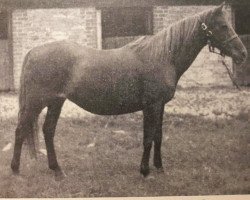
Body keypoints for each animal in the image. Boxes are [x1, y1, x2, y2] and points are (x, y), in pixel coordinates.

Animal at [11, 2, 246, 179]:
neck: (163, 56)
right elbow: (148, 137)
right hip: (36, 102)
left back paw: (57, 171)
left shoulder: (160, 106)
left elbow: (158, 136)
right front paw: (144, 171)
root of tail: (33, 51)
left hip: (56, 102)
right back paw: (15, 170)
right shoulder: (151, 106)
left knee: (48, 131)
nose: (242, 54)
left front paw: (160, 168)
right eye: (223, 25)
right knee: (21, 130)